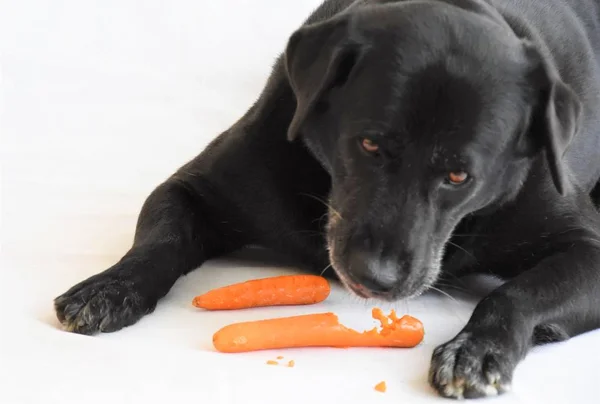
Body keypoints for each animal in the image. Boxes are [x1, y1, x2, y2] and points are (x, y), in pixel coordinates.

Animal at [54, 0, 600, 398]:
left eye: (459, 175)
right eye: (369, 144)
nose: (377, 278)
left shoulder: (585, 245)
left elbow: (516, 293)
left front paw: (477, 349)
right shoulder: (194, 186)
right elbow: (161, 238)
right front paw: (110, 288)